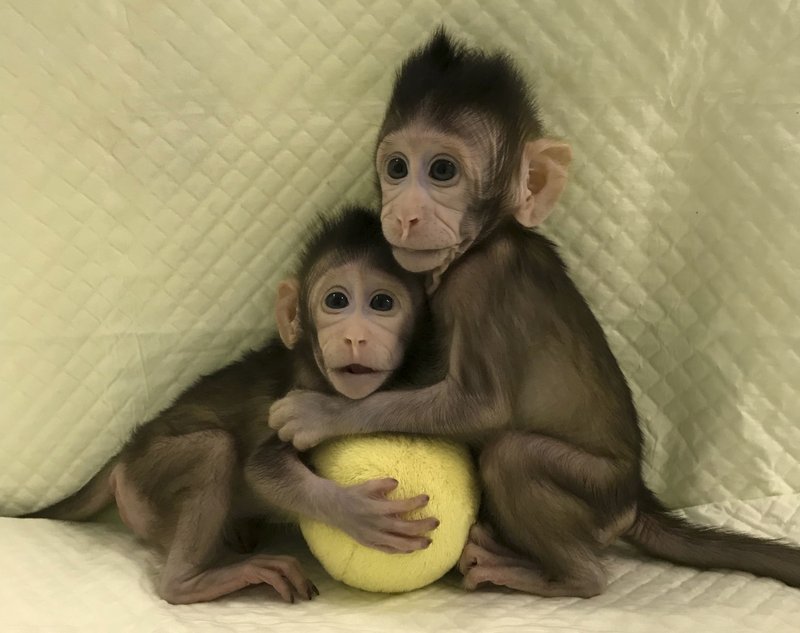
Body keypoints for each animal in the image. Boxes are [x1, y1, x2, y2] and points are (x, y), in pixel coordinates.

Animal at [24, 206, 440, 605]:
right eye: (336, 301)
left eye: (382, 303)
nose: (355, 337)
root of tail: (126, 454)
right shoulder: (296, 394)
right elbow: (262, 468)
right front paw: (355, 511)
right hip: (145, 476)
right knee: (214, 448)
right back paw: (190, 581)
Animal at [268, 30, 800, 597]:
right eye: (396, 168)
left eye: (442, 170)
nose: (405, 214)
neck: (487, 238)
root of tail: (634, 498)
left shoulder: (481, 283)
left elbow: (481, 408)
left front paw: (322, 413)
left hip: (594, 490)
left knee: (514, 457)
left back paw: (555, 574)